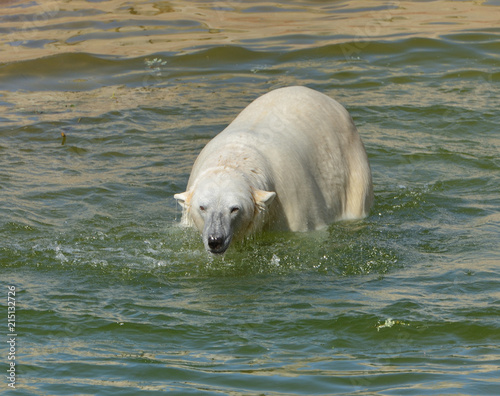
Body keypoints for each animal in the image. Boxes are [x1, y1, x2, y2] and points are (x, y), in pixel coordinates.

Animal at [174, 86, 374, 254]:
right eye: (202, 207)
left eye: (234, 209)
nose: (215, 240)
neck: (236, 156)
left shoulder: (293, 201)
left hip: (353, 166)